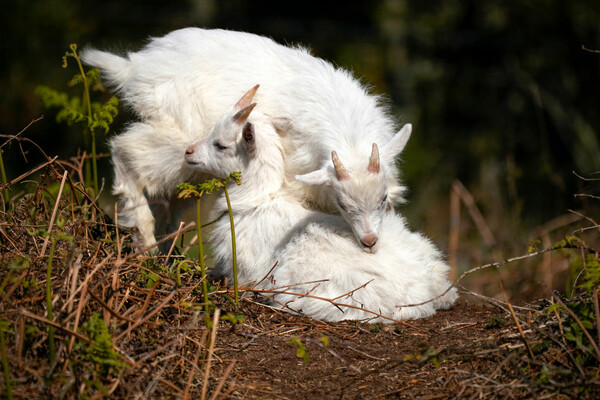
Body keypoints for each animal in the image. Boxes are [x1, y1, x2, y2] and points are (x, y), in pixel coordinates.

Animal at [81, 27, 408, 253]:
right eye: (342, 202)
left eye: (382, 199)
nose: (369, 241)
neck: (348, 134)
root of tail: (134, 68)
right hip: (181, 140)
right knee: (126, 149)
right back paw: (144, 236)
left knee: (169, 198)